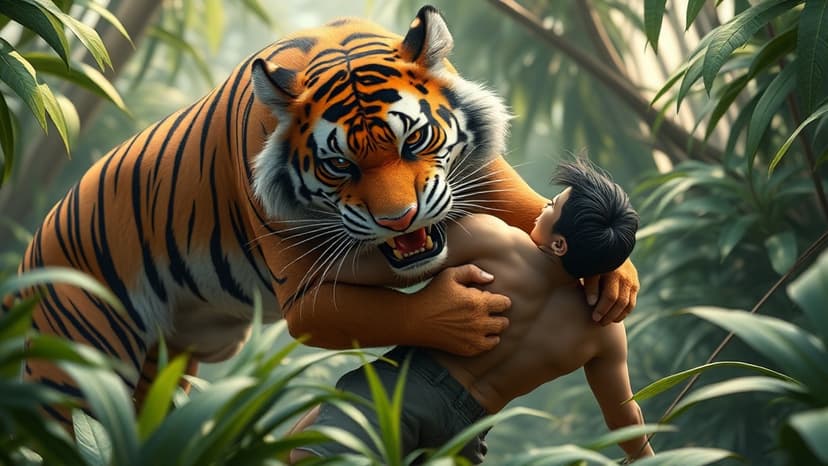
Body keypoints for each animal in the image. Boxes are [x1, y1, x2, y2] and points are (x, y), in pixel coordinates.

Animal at [14, 5, 638, 425]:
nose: (398, 219)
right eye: (339, 166)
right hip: (78, 363)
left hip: (160, 368)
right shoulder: (299, 295)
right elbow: (388, 308)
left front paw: (616, 278)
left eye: (414, 140)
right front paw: (463, 316)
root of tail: (31, 247)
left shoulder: (484, 178)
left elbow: (531, 210)